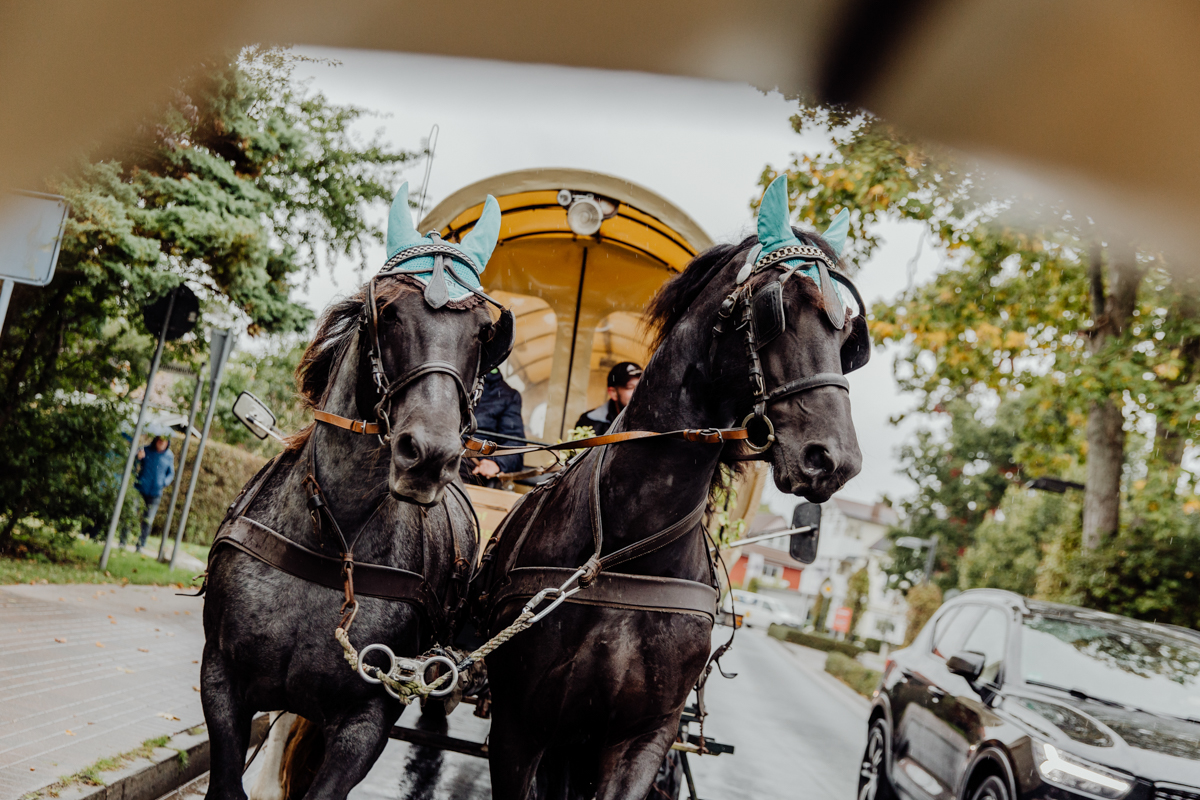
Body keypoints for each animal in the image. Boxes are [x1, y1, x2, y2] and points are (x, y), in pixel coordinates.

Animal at [202, 183, 511, 800]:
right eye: (387, 310)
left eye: (484, 333)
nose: (430, 455)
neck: (332, 540)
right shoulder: (220, 681)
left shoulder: (365, 721)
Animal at [477, 179, 864, 800]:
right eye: (776, 307)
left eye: (851, 333)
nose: (835, 460)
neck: (628, 549)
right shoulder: (519, 727)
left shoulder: (642, 737)